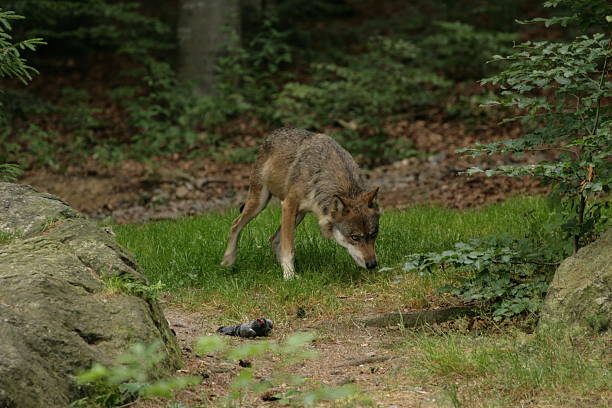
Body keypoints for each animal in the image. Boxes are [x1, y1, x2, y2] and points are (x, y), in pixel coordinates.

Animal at [222, 127, 380, 280]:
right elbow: (289, 248)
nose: (372, 264)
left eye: (373, 234)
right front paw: (289, 276)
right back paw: (228, 261)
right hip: (261, 203)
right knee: (235, 224)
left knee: (274, 240)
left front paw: (288, 272)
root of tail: (272, 134)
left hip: (299, 215)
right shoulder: (288, 205)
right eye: (355, 237)